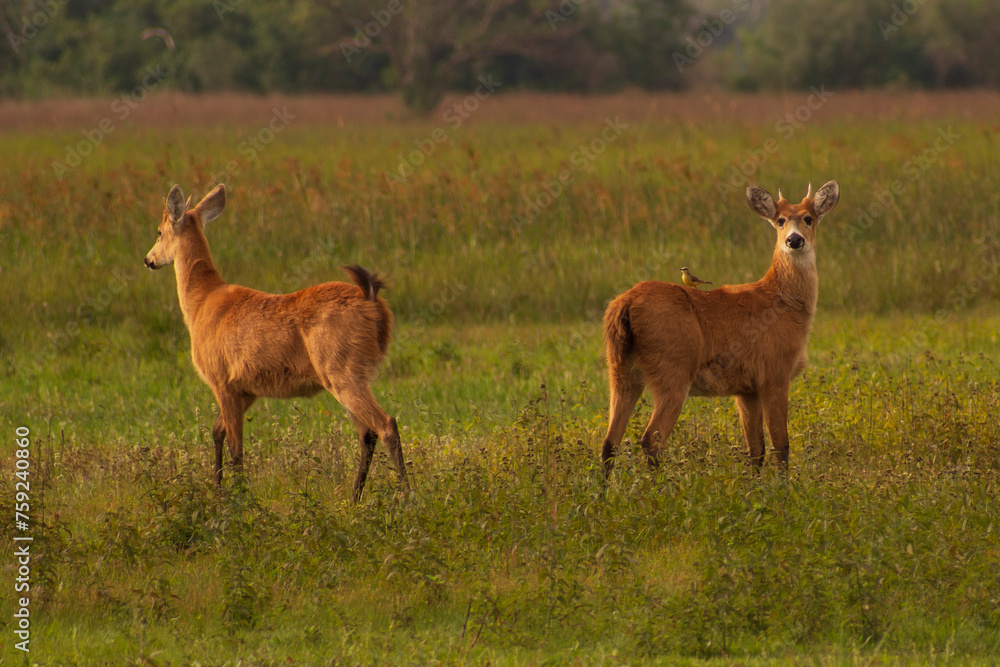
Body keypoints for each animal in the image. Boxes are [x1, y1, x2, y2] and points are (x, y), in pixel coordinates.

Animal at [144, 184, 407, 502]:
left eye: (159, 231)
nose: (148, 259)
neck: (201, 302)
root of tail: (371, 299)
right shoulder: (246, 389)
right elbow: (217, 432)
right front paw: (218, 490)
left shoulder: (222, 380)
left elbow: (236, 448)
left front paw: (239, 498)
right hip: (349, 374)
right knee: (366, 434)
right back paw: (354, 498)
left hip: (341, 370)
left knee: (385, 424)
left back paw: (408, 497)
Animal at [600, 180, 840, 475]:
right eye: (780, 220)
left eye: (808, 219)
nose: (794, 240)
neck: (783, 302)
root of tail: (625, 303)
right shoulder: (774, 372)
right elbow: (781, 447)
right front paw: (784, 486)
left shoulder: (747, 388)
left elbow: (756, 450)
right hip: (673, 369)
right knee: (650, 440)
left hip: (620, 369)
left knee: (609, 442)